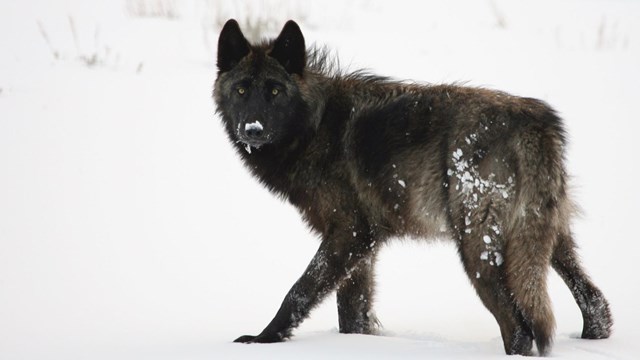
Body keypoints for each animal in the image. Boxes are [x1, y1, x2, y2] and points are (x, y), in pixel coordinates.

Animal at [212, 19, 612, 354]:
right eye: (242, 90)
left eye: (275, 91)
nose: (252, 129)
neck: (314, 126)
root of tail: (535, 123)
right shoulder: (364, 246)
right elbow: (352, 313)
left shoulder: (348, 234)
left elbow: (299, 292)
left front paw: (262, 339)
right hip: (548, 240)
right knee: (596, 303)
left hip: (477, 250)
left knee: (519, 328)